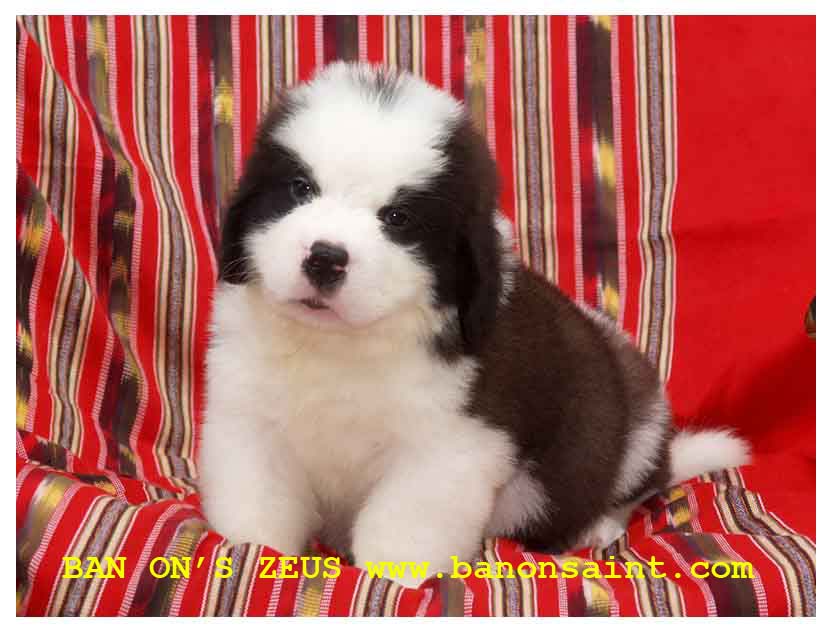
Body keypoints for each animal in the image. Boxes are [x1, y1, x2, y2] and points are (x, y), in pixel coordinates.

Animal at [199, 62, 750, 587]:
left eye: (397, 218)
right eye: (300, 188)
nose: (325, 259)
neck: (340, 345)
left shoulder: (446, 448)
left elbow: (401, 530)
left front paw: (387, 579)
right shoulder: (249, 420)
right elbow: (257, 510)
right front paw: (251, 556)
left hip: (634, 417)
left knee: (627, 483)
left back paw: (599, 526)